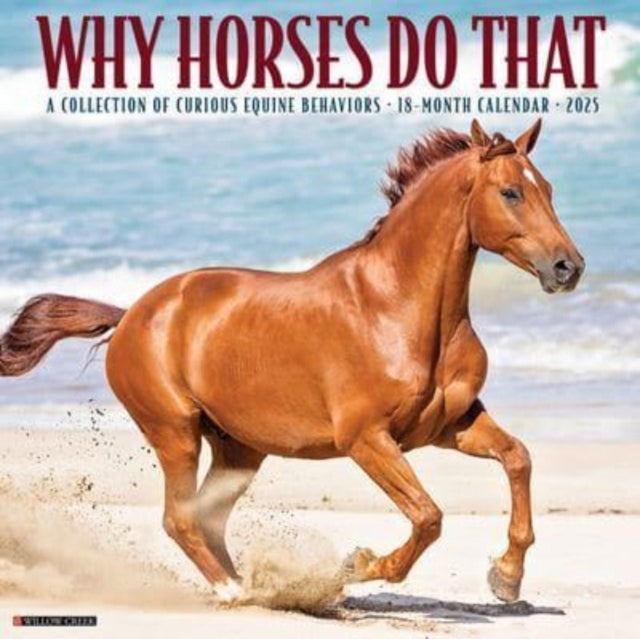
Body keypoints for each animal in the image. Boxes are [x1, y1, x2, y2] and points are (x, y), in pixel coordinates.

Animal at [0, 119, 584, 603]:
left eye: (548, 189)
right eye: (510, 192)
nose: (568, 267)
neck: (396, 307)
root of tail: (131, 316)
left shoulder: (450, 426)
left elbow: (517, 458)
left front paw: (506, 576)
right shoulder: (366, 439)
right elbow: (428, 516)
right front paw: (357, 565)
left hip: (239, 449)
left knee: (207, 519)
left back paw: (255, 585)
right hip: (176, 432)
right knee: (179, 519)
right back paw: (237, 592)